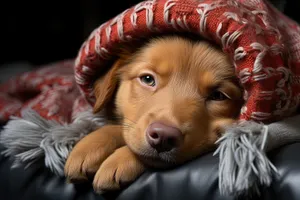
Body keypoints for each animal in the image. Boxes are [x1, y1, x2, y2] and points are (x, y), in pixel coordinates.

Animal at [63, 35, 244, 193]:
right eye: (148, 79)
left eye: (218, 96)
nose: (163, 137)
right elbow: (125, 128)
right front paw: (91, 145)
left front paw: (119, 160)